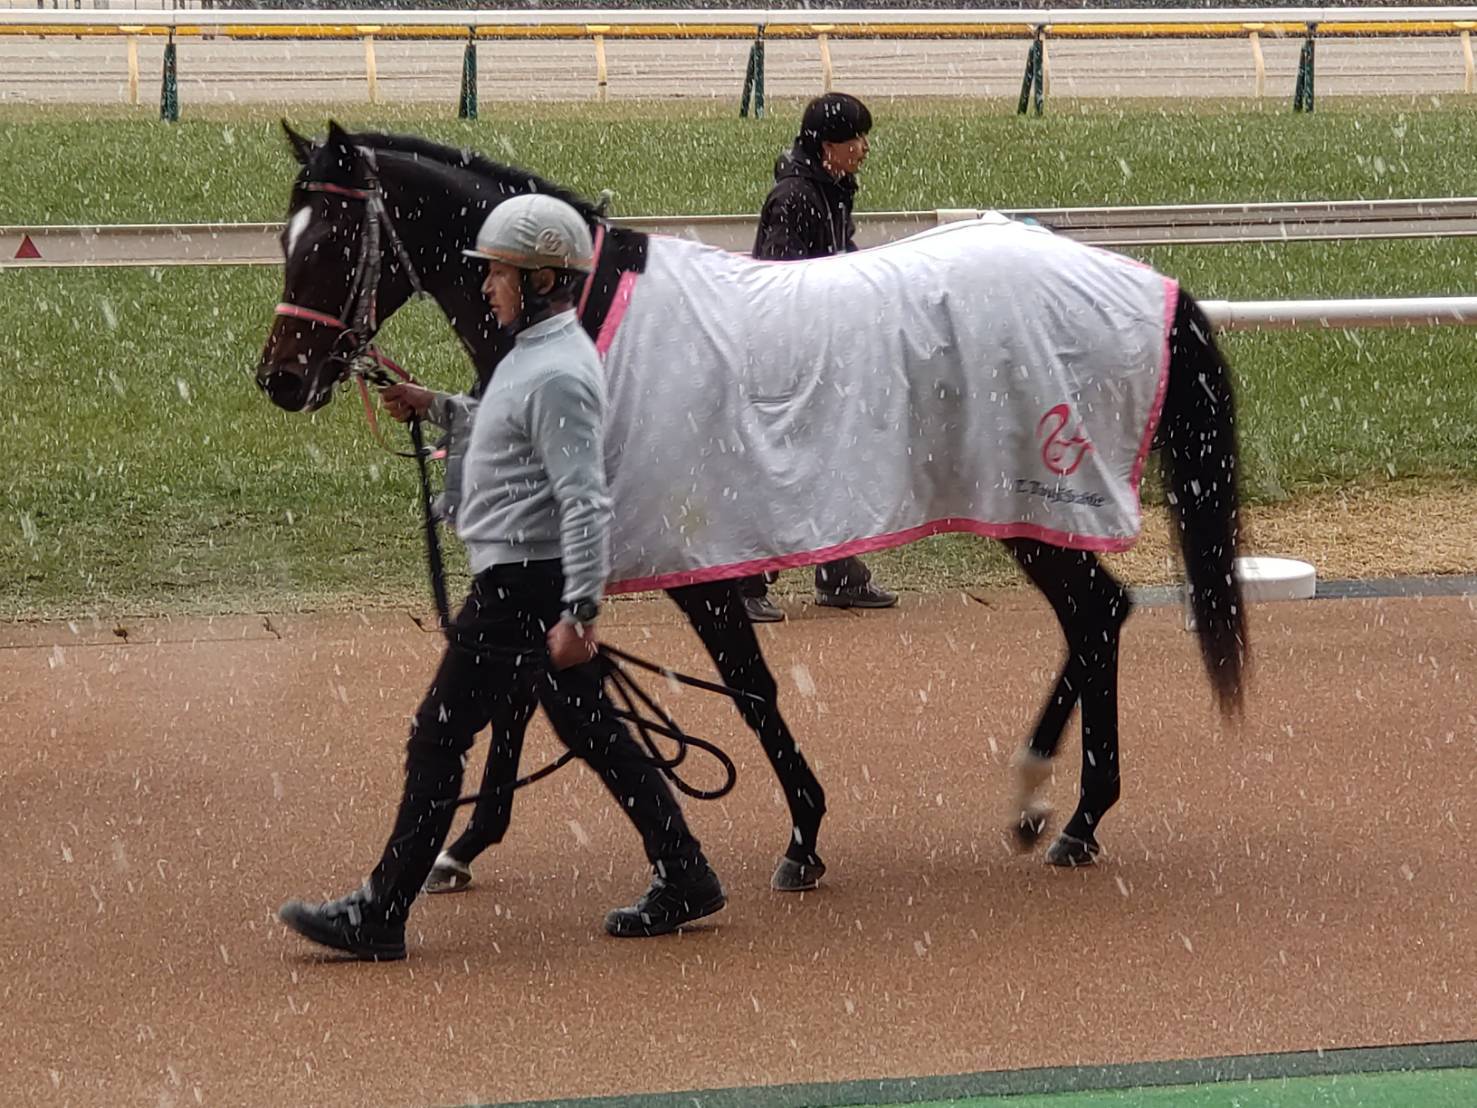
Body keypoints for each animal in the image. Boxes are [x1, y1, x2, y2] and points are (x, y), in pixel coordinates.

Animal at [255, 122, 1248, 877]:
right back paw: (1064, 813)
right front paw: (466, 842)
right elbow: (519, 684)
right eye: (283, 239)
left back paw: (1056, 804)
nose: (280, 379)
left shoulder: (685, 551)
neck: (581, 310)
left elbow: (746, 684)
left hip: (1037, 497)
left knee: (1095, 613)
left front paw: (804, 834)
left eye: (330, 242)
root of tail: (1152, 288)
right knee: (1096, 615)